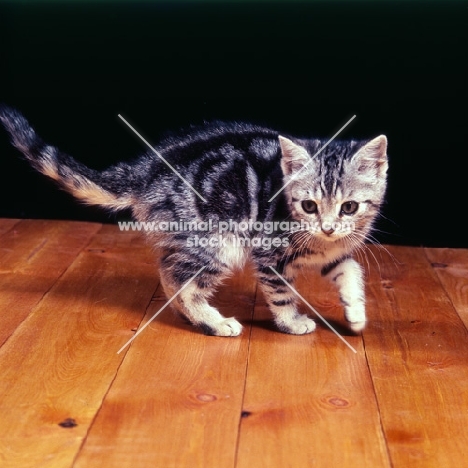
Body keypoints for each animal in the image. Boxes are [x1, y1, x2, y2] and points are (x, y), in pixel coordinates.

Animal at [0, 107, 388, 336]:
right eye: (308, 205)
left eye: (349, 207)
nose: (327, 227)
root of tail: (147, 167)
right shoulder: (269, 254)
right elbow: (280, 294)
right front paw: (292, 322)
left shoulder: (335, 252)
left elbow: (351, 270)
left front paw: (356, 312)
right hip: (218, 240)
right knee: (181, 279)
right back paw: (213, 322)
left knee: (169, 271)